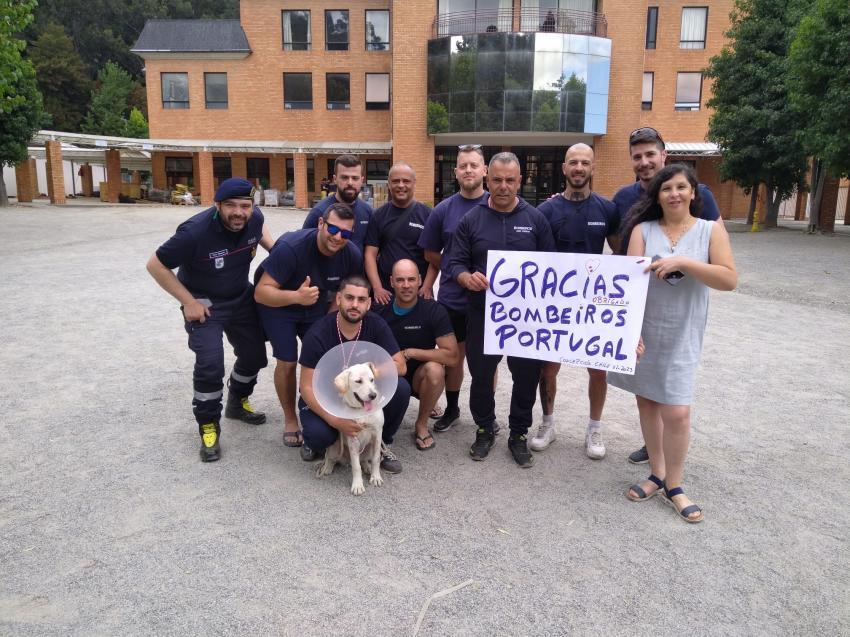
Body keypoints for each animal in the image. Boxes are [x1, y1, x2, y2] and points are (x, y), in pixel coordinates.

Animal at [314, 362, 384, 492]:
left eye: (372, 379)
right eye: (358, 381)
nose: (373, 395)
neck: (362, 412)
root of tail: (345, 460)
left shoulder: (377, 435)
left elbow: (376, 459)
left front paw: (376, 477)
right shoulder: (353, 439)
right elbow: (356, 466)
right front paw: (357, 485)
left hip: (368, 450)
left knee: (363, 460)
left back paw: (367, 467)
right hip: (334, 448)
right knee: (330, 459)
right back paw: (327, 468)